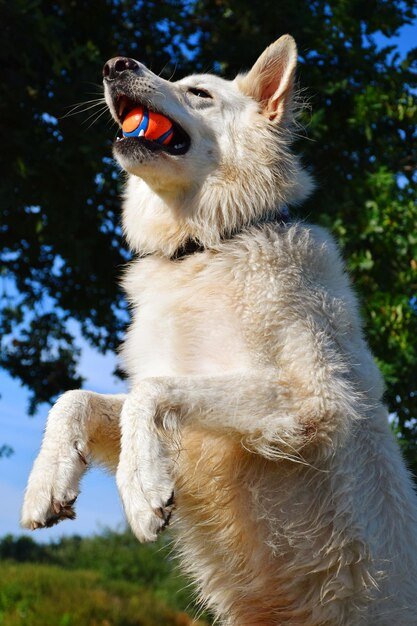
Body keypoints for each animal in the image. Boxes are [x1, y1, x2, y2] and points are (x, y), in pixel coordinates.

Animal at [22, 36, 416, 620]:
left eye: (199, 93)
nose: (115, 65)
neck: (207, 247)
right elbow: (75, 398)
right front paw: (46, 481)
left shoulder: (310, 401)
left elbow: (149, 393)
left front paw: (141, 489)